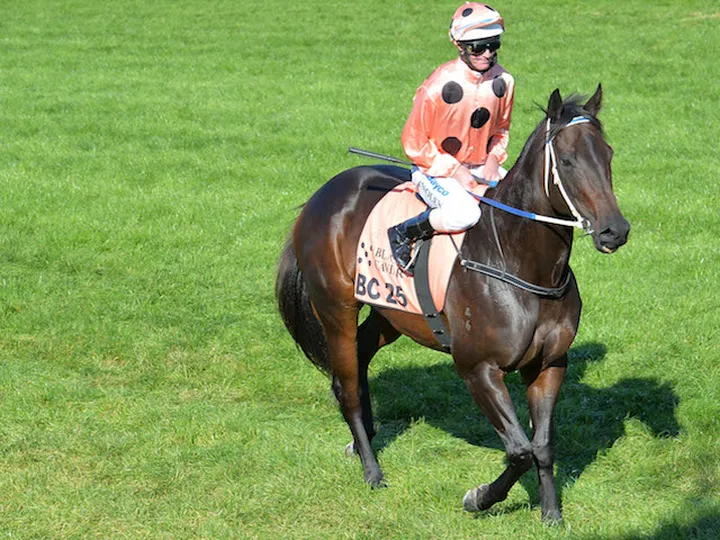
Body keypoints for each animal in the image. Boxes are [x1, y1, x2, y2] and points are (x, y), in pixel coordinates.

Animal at [275, 85, 630, 523]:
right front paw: (478, 497)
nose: (615, 230)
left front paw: (550, 513)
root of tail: (319, 196)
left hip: (390, 314)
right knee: (348, 385)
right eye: (566, 160)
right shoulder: (478, 368)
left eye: (608, 154)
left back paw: (362, 443)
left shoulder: (549, 364)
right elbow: (519, 451)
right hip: (335, 310)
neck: (522, 266)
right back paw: (372, 469)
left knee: (359, 359)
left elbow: (543, 446)